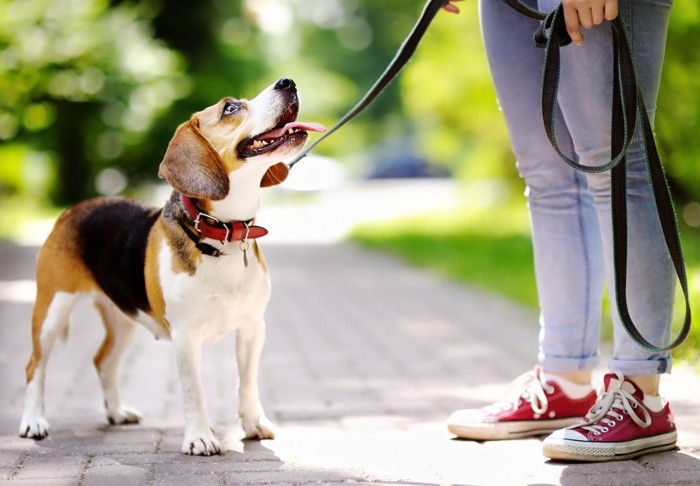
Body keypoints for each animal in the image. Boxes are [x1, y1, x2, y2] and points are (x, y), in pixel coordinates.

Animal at [19, 78, 324, 454]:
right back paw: (33, 421)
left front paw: (254, 423)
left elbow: (247, 383)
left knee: (103, 362)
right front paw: (200, 437)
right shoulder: (185, 336)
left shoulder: (253, 328)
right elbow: (195, 392)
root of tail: (74, 209)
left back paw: (116, 412)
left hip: (124, 318)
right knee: (35, 366)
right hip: (51, 310)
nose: (288, 82)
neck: (223, 233)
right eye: (230, 108)